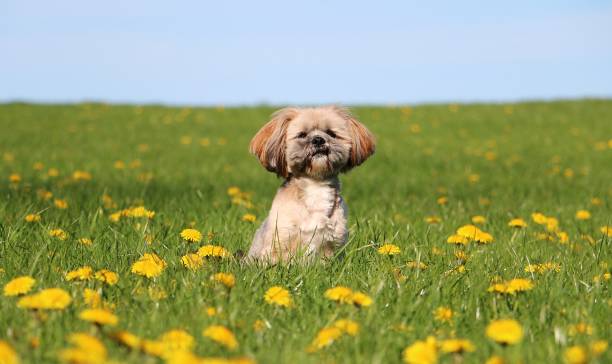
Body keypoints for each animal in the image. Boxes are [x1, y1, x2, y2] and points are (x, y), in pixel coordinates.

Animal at [246, 104, 376, 262]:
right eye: (302, 135)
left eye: (331, 133)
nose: (318, 139)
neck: (315, 184)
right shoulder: (280, 241)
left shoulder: (331, 245)